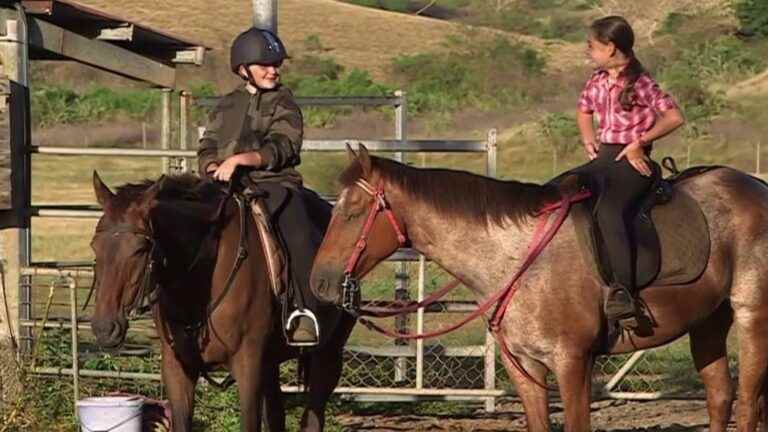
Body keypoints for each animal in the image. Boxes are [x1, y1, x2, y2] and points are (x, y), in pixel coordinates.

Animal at [91, 173, 356, 432]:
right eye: (95, 246)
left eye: (140, 249)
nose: (105, 328)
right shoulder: (177, 368)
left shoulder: (248, 367)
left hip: (329, 354)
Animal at [308, 146, 768, 432]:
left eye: (352, 211)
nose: (320, 282)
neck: (517, 259)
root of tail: (757, 187)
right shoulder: (524, 367)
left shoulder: (572, 363)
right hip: (708, 321)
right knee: (720, 398)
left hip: (751, 316)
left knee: (748, 404)